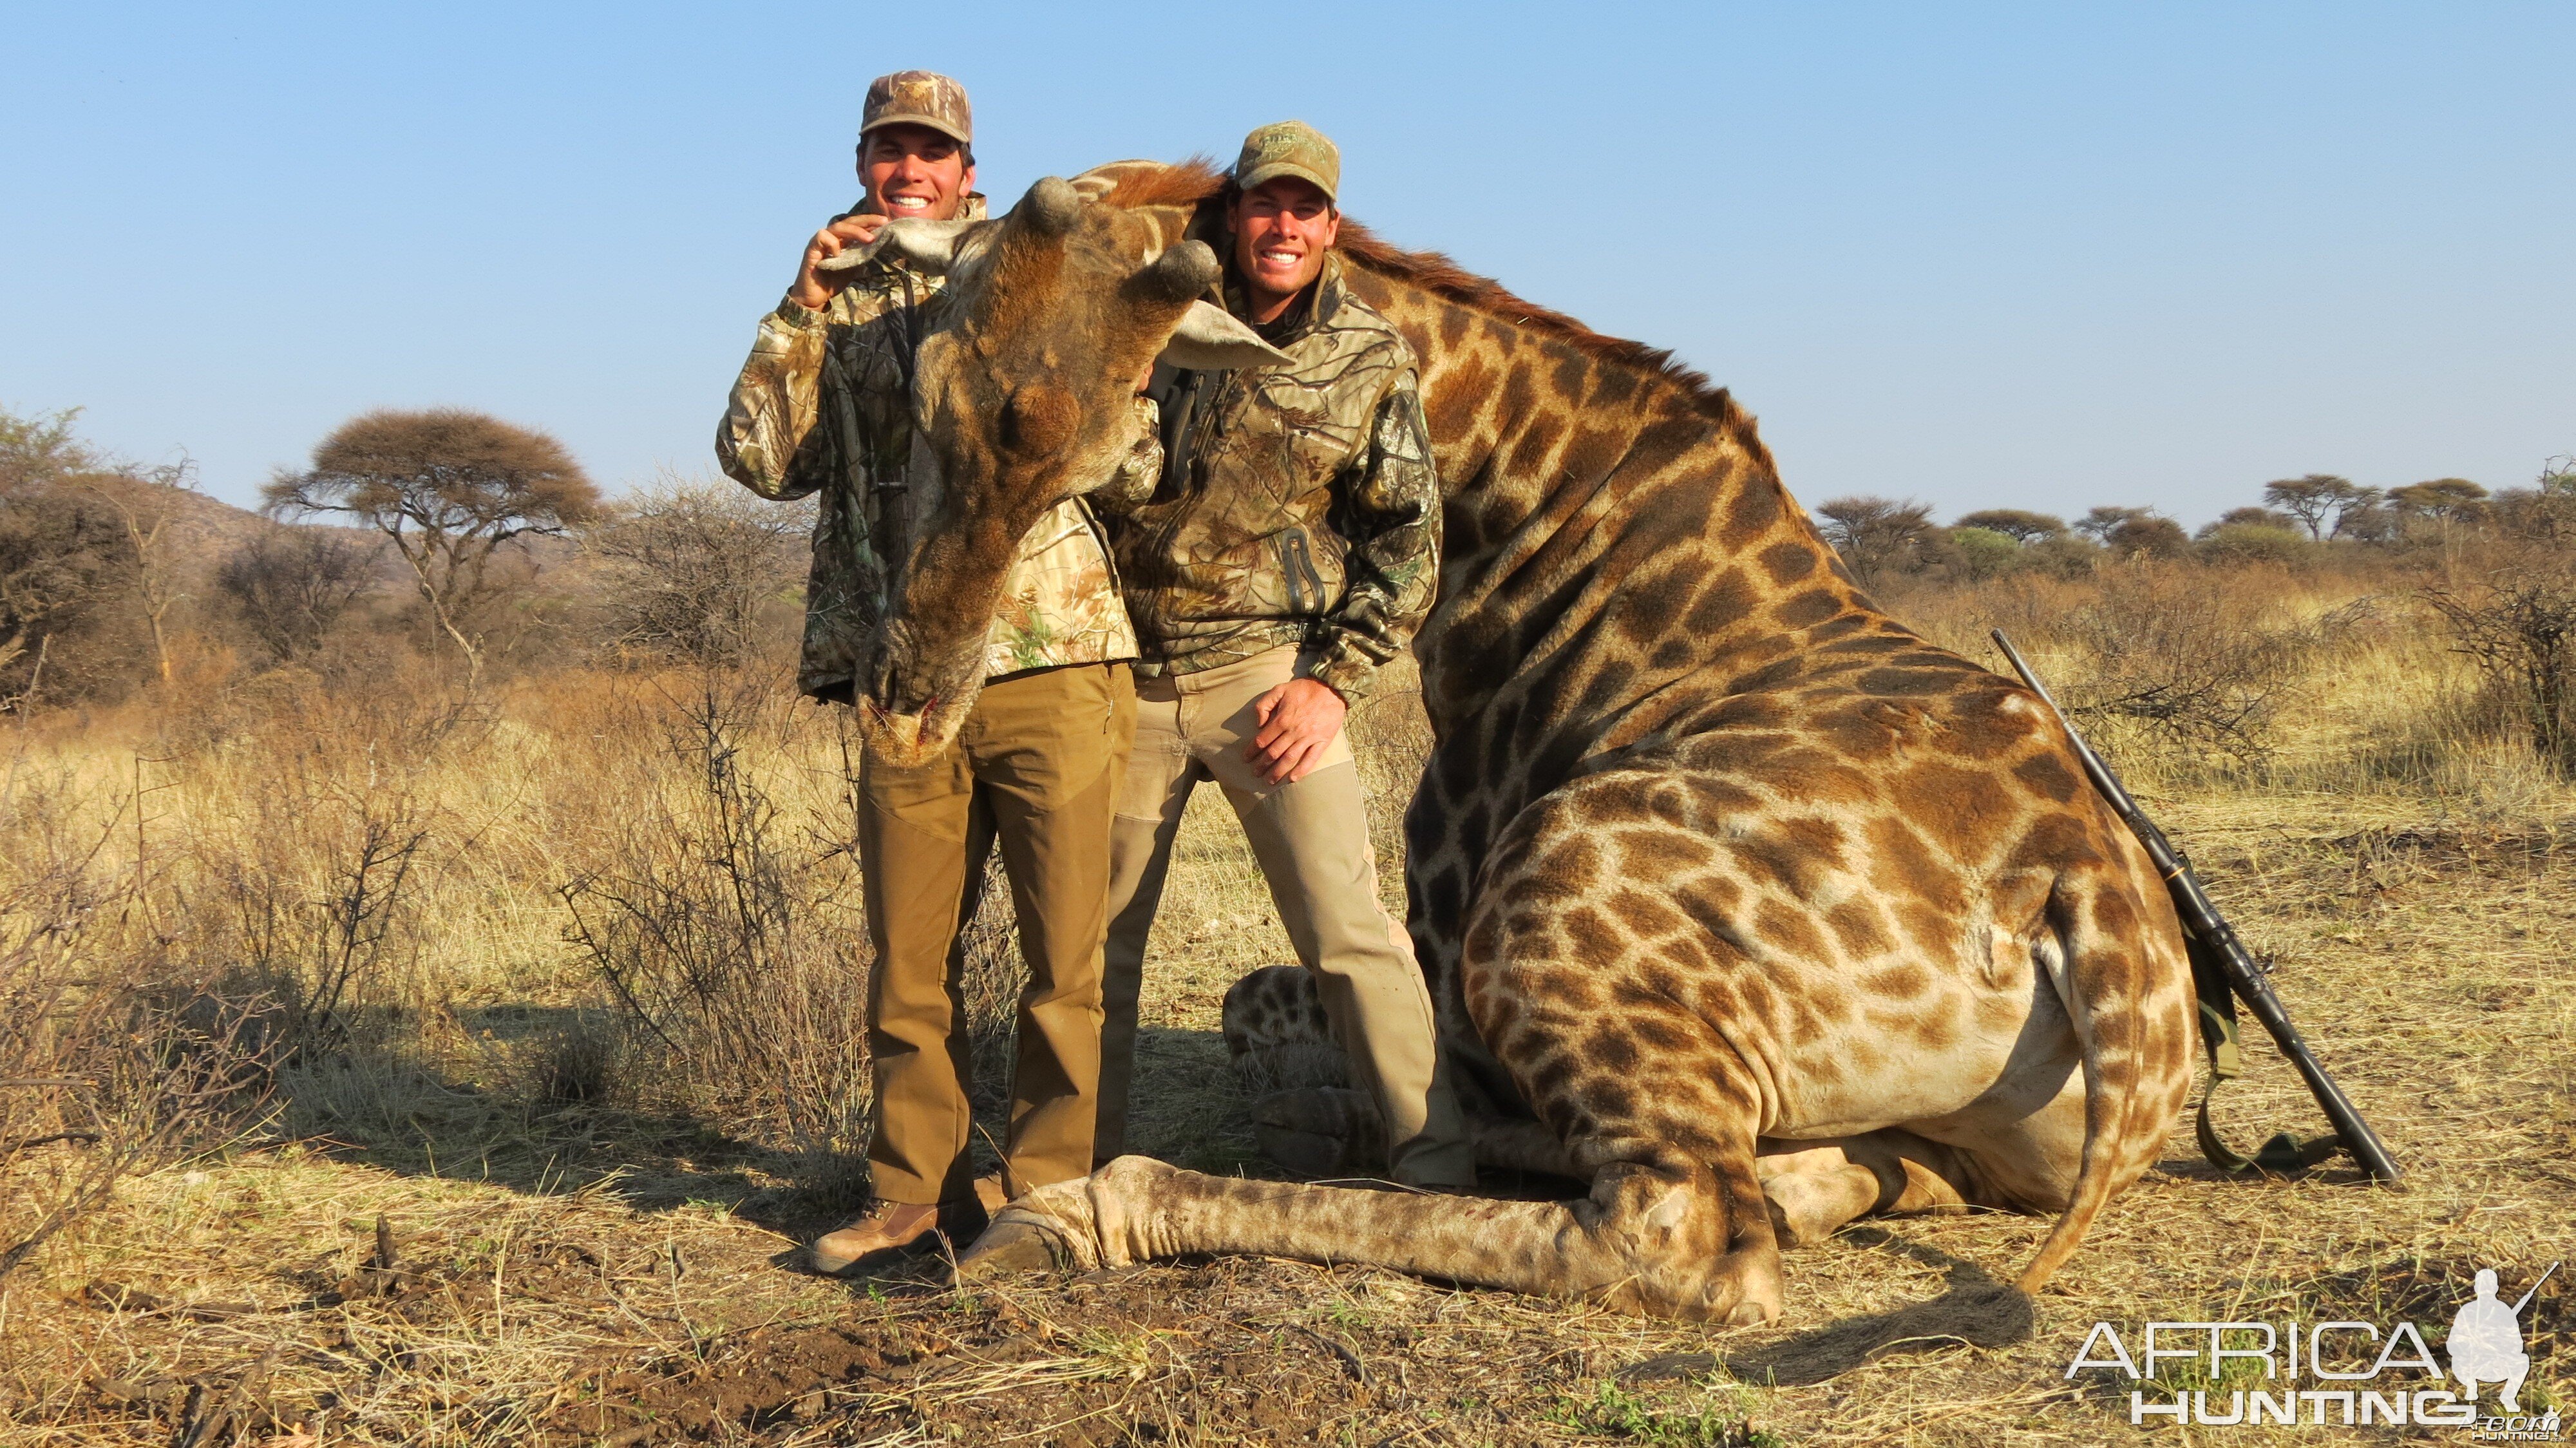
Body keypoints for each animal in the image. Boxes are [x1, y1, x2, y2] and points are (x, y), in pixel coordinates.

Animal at [845, 160, 2195, 1319]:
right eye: (923, 398)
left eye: (1098, 448)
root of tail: (2089, 905)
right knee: (1833, 1176)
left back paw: (1077, 1206)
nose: (909, 700)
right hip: (1961, 1136)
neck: (1531, 510)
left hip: (1544, 897)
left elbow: (1288, 1017)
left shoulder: (1445, 933)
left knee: (1684, 1230)